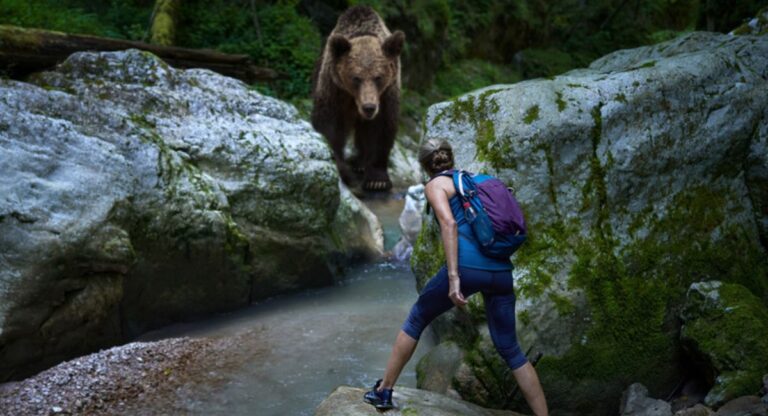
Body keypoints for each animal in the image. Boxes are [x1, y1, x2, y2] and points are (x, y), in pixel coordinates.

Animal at [311, 5, 405, 192]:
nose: (369, 107)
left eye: (378, 77)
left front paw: (377, 180)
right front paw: (342, 170)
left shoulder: (386, 95)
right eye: (356, 78)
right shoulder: (335, 89)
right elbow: (329, 126)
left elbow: (381, 129)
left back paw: (360, 163)